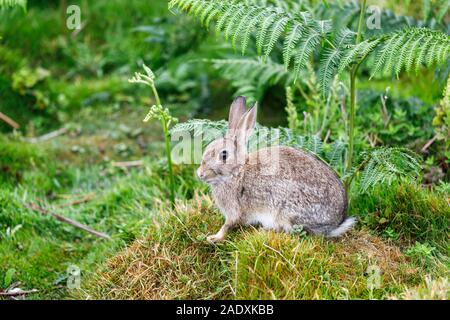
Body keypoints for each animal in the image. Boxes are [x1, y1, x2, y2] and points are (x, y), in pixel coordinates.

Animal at [197, 97, 356, 242]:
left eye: (224, 155)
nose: (200, 174)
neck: (237, 171)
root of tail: (336, 224)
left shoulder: (234, 209)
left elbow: (228, 225)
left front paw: (214, 237)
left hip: (287, 210)